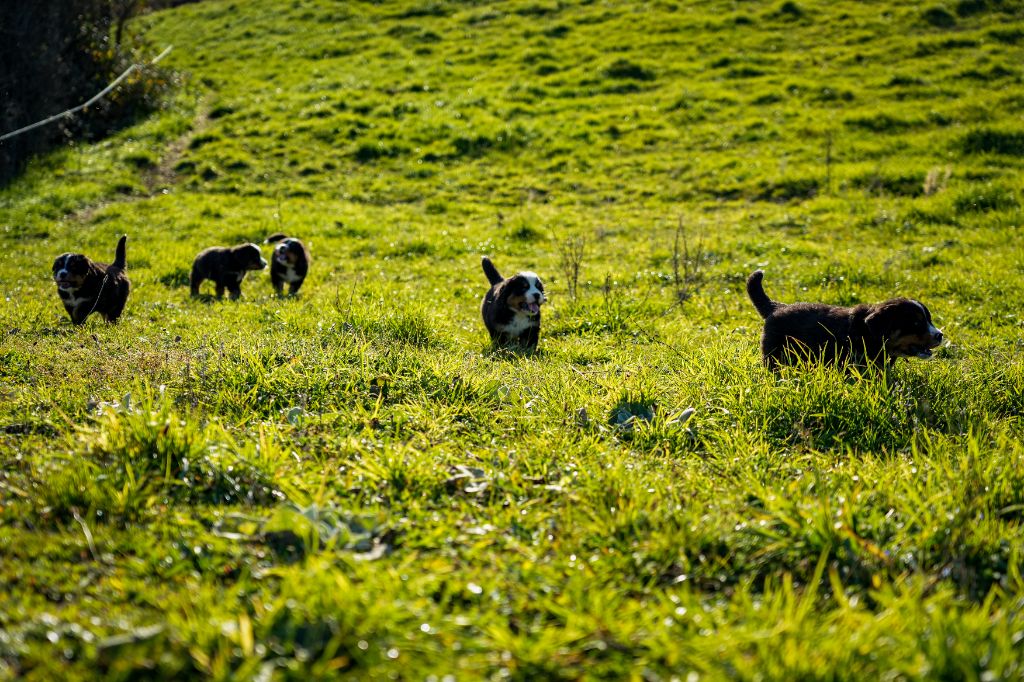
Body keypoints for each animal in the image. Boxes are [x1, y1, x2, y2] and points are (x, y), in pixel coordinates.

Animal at [745, 268, 942, 368]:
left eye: (929, 320)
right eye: (915, 323)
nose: (940, 335)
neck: (867, 333)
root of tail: (777, 307)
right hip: (775, 355)